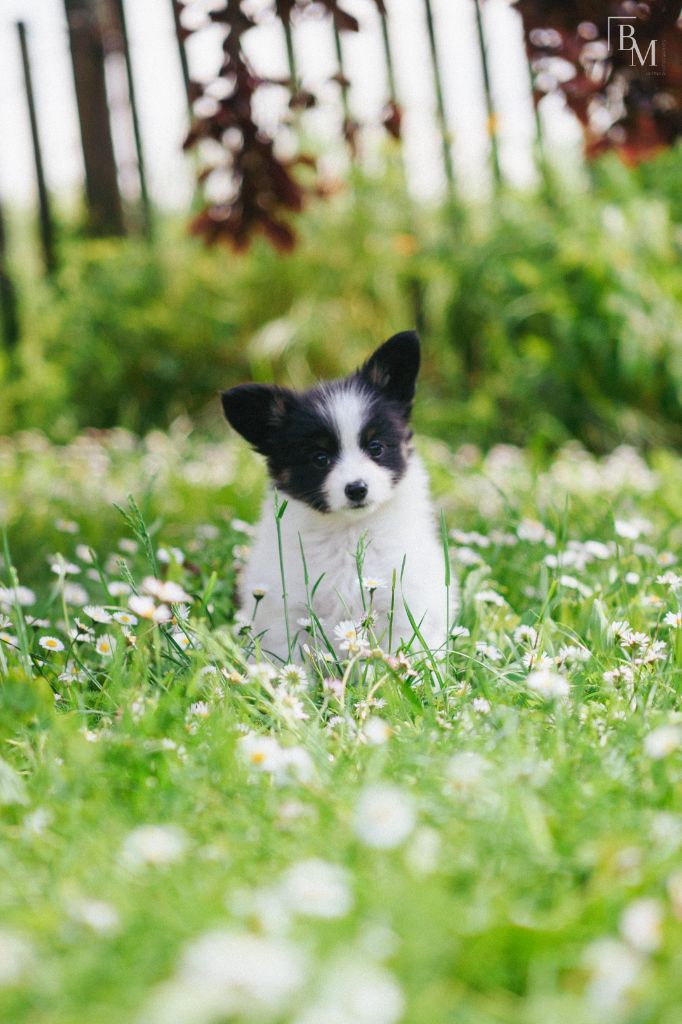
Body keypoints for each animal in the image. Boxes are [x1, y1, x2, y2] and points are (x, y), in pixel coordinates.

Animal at [221, 331, 450, 662]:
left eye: (376, 447)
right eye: (320, 458)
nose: (356, 488)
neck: (349, 531)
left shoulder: (404, 604)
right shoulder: (289, 613)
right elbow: (293, 660)